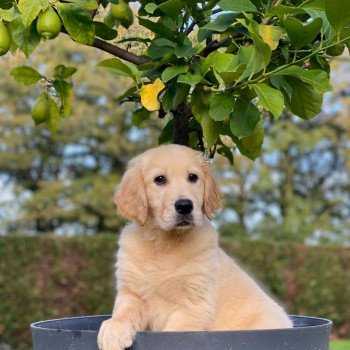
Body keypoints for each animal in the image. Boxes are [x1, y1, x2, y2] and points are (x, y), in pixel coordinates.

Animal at [97, 144, 292, 348]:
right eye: (160, 179)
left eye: (193, 177)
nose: (184, 206)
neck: (164, 243)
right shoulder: (132, 293)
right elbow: (124, 311)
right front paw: (113, 331)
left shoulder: (193, 306)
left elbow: (173, 335)